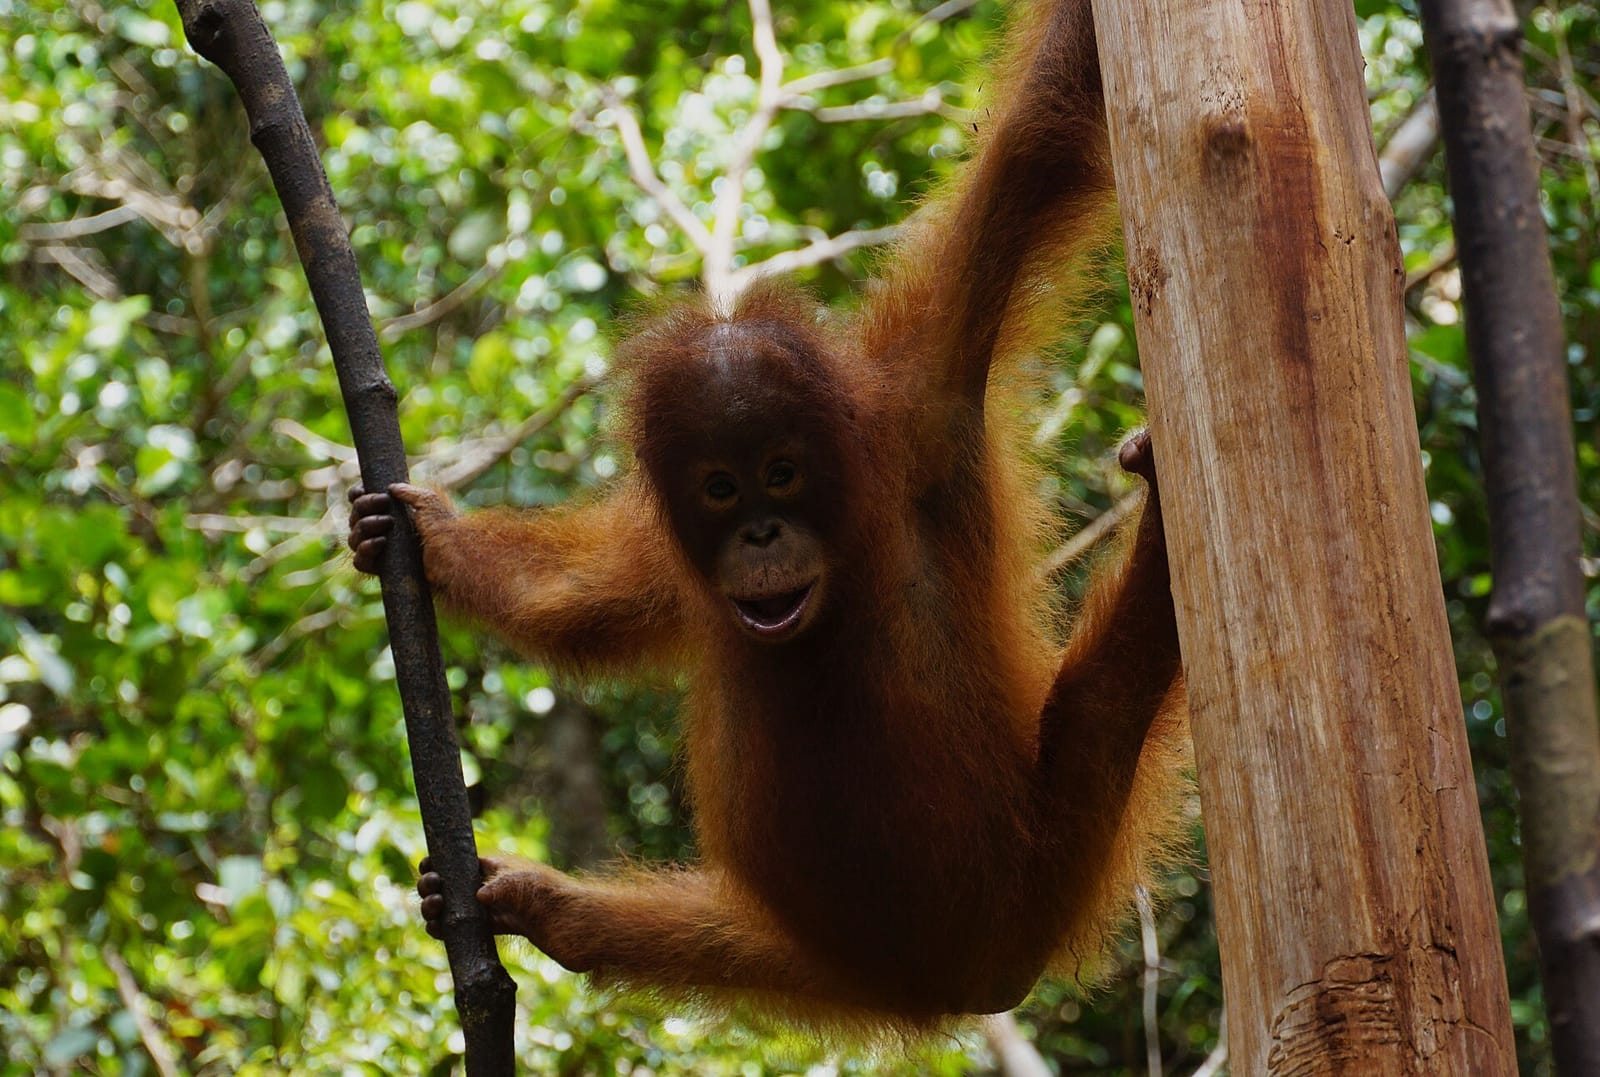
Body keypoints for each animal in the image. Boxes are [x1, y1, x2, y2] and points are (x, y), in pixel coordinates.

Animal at [348, 0, 1186, 1032]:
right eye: (721, 487)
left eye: (781, 473)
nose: (760, 534)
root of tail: (975, 984)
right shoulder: (670, 559)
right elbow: (573, 600)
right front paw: (430, 535)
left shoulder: (923, 398)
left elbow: (1038, 144)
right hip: (826, 964)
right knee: (708, 939)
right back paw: (551, 909)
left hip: (1053, 855)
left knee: (1108, 697)